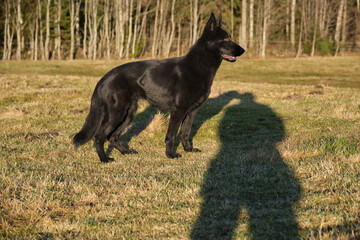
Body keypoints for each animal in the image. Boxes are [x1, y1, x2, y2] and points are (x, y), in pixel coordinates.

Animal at [72, 12, 245, 162]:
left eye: (230, 37)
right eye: (225, 39)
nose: (243, 50)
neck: (199, 65)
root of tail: (105, 77)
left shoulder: (191, 111)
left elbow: (185, 133)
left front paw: (189, 150)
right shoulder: (178, 111)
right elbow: (172, 135)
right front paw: (170, 154)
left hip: (128, 114)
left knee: (112, 136)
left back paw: (125, 152)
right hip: (116, 114)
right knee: (99, 136)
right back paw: (104, 159)